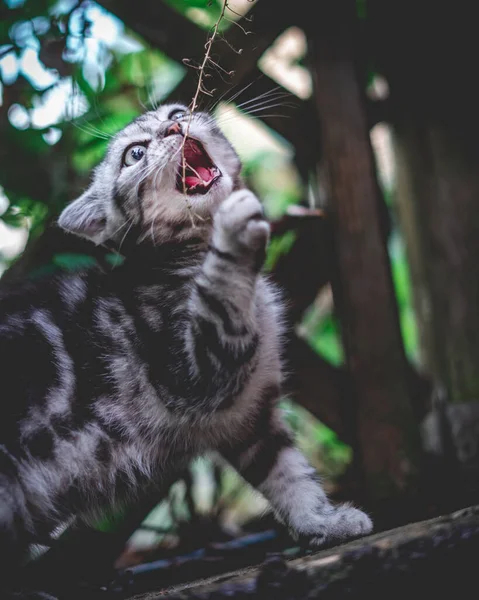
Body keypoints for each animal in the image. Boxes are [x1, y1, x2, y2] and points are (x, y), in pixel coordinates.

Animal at [0, 103, 374, 592]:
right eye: (135, 153)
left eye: (177, 111)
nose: (175, 125)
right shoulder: (194, 370)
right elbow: (220, 294)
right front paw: (233, 234)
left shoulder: (249, 416)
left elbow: (288, 472)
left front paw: (321, 523)